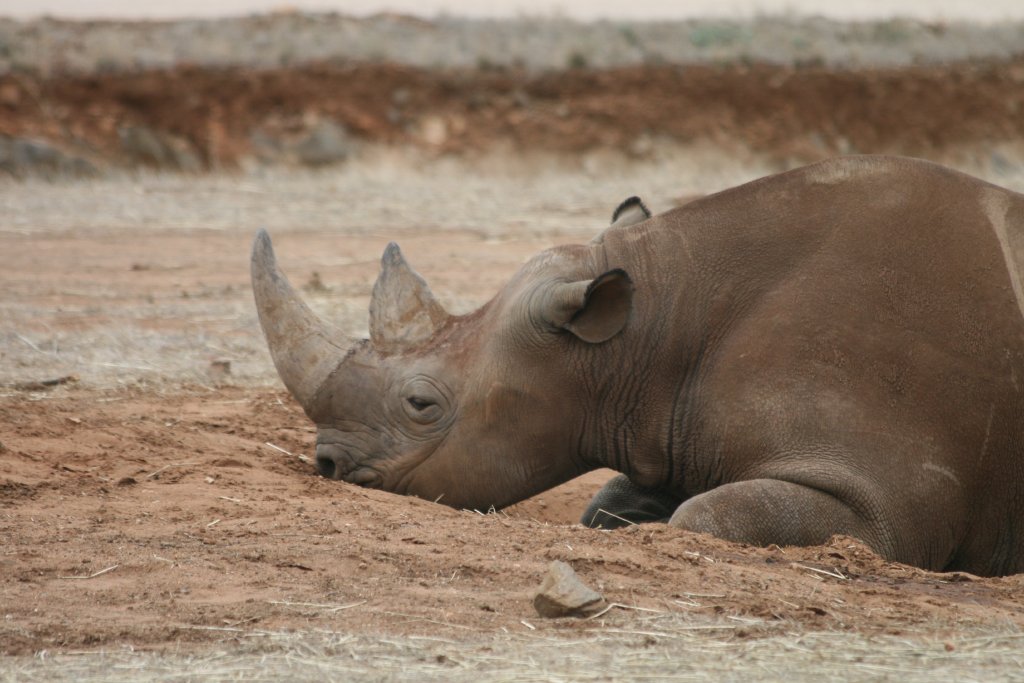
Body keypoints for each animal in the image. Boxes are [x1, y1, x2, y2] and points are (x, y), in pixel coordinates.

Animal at [252, 156, 1024, 577]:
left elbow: (703, 515)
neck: (648, 331)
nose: (325, 463)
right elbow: (606, 506)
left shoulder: (883, 495)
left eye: (421, 405)